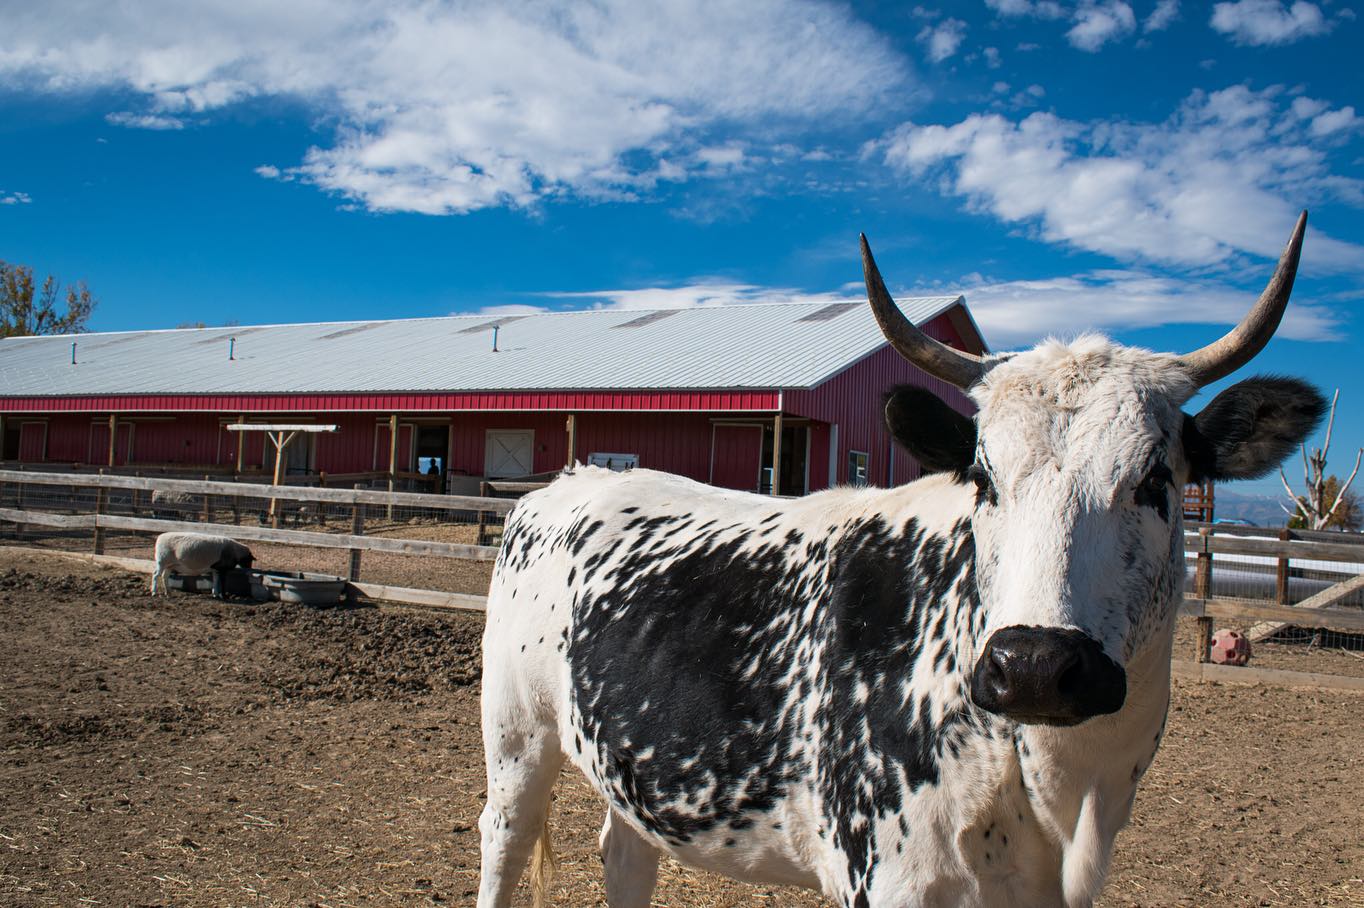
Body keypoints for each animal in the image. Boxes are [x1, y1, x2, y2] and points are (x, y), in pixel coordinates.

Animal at [478, 213, 1325, 908]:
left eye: (1155, 480)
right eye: (983, 476)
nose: (1035, 666)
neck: (1057, 786)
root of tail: (571, 478)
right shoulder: (888, 874)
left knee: (626, 856)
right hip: (517, 736)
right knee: (503, 841)